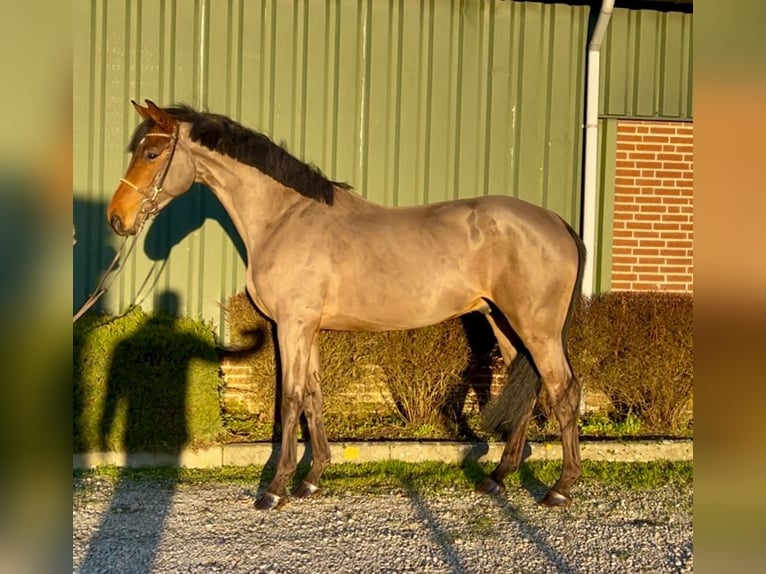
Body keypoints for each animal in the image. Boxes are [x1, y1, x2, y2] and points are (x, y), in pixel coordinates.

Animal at [109, 101, 588, 510]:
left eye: (152, 152)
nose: (118, 218)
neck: (285, 218)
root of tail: (557, 223)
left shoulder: (292, 326)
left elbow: (290, 398)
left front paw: (275, 489)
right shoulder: (308, 329)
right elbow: (314, 396)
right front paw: (311, 479)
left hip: (537, 329)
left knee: (564, 391)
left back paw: (560, 489)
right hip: (504, 324)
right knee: (527, 392)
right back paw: (498, 477)